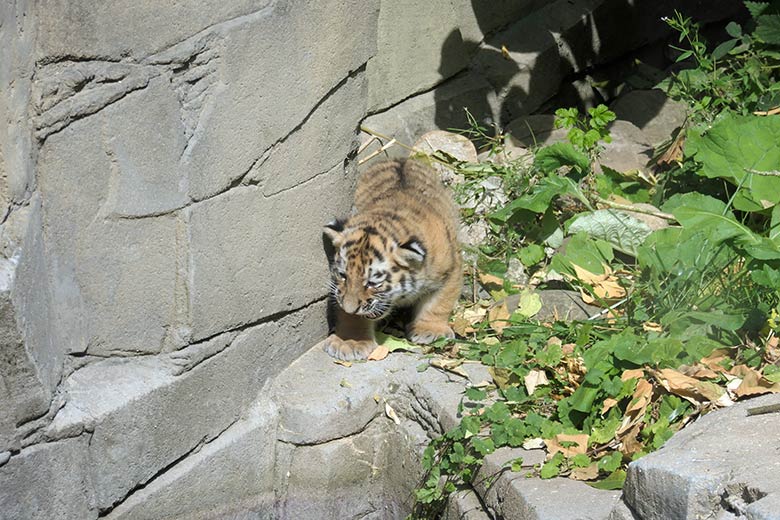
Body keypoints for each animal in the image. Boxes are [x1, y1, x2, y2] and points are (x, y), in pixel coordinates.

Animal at [322, 158, 462, 361]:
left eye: (372, 283)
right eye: (343, 276)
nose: (349, 307)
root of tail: (400, 159)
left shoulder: (451, 268)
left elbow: (439, 303)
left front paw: (430, 330)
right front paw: (350, 341)